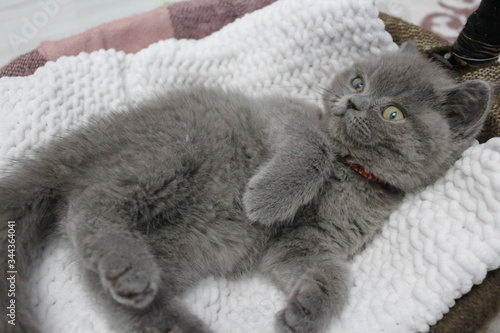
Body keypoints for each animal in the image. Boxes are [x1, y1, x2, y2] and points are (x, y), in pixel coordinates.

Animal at [0, 42, 492, 332]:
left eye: (393, 113)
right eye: (358, 81)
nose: (354, 102)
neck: (352, 171)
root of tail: (89, 139)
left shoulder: (309, 241)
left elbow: (330, 272)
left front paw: (306, 311)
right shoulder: (284, 115)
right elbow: (311, 145)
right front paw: (266, 200)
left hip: (183, 246)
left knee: (95, 278)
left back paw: (161, 311)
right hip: (171, 154)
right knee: (88, 202)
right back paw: (130, 268)